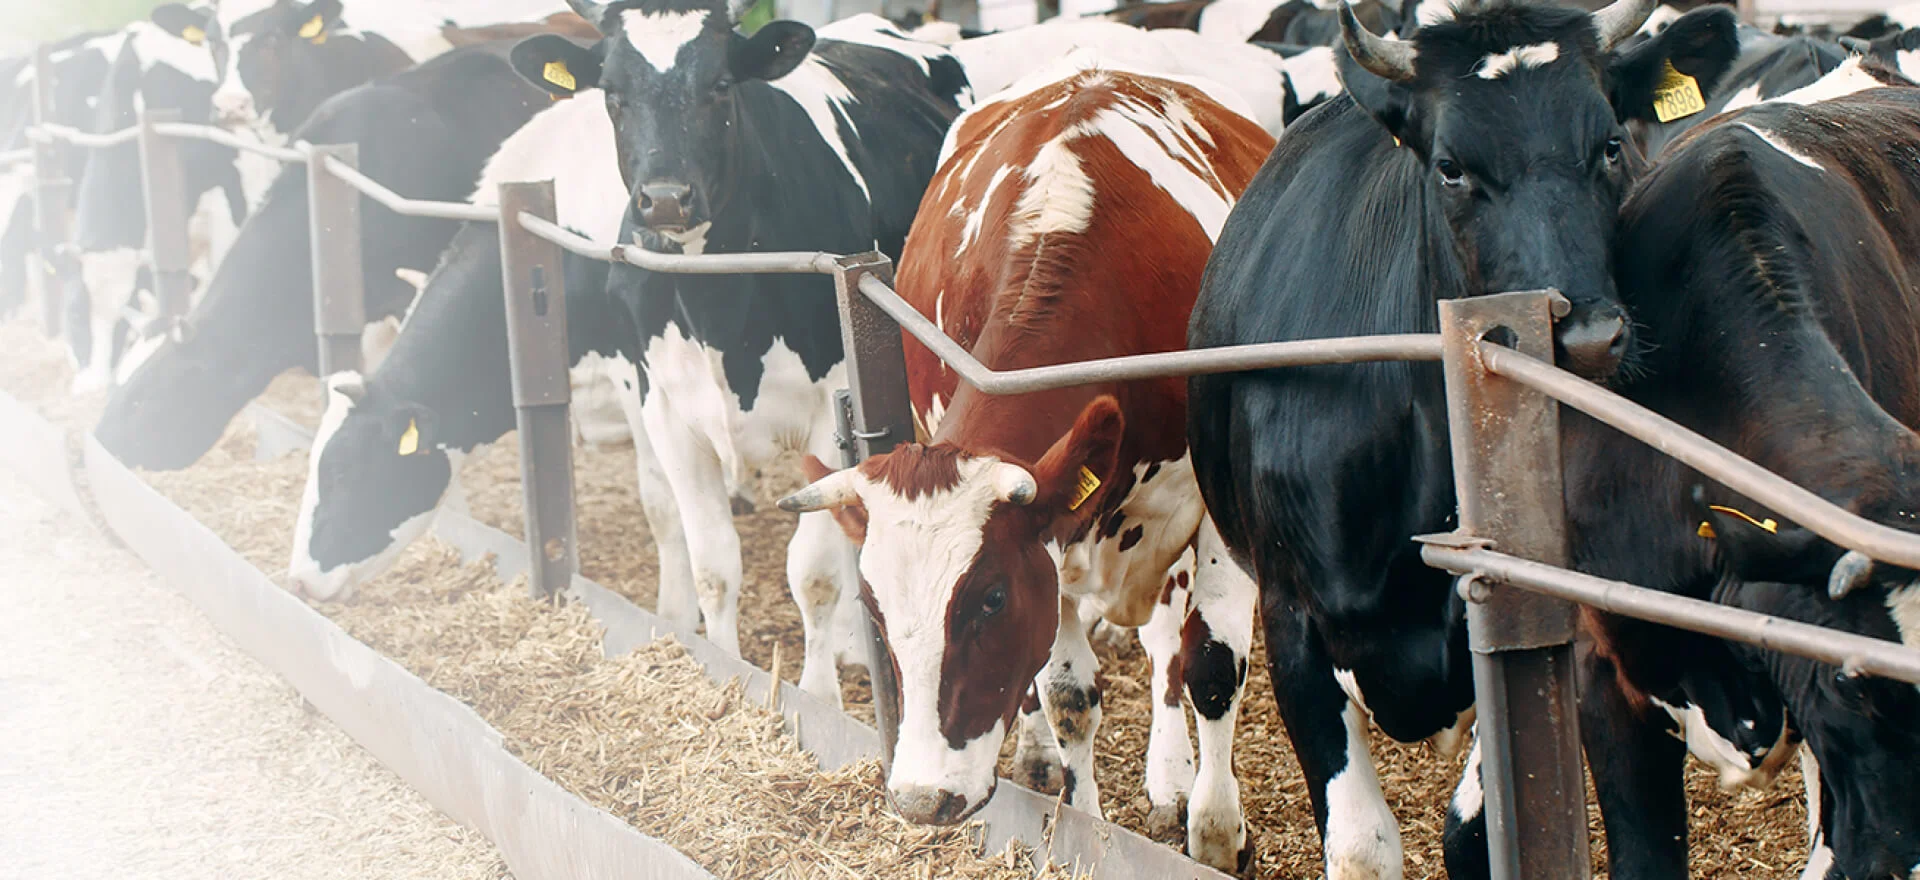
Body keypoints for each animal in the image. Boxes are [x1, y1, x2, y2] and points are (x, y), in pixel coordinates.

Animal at [505, 5, 967, 704]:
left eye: (721, 85)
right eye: (612, 93)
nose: (666, 198)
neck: (716, 304)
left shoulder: (831, 418)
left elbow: (813, 574)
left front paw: (819, 697)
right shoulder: (666, 409)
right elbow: (714, 564)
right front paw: (724, 667)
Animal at [777, 58, 1274, 871]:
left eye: (990, 599)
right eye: (874, 609)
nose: (921, 799)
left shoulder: (1210, 509)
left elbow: (1211, 664)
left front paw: (1215, 832)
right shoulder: (1056, 535)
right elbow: (1069, 694)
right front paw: (1086, 830)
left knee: (1169, 647)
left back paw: (1171, 779)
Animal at [1183, 1, 1743, 877]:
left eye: (1609, 144)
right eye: (1450, 167)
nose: (1587, 337)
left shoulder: (1520, 613)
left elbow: (1475, 835)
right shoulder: (1294, 619)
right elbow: (1362, 848)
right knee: (1208, 659)